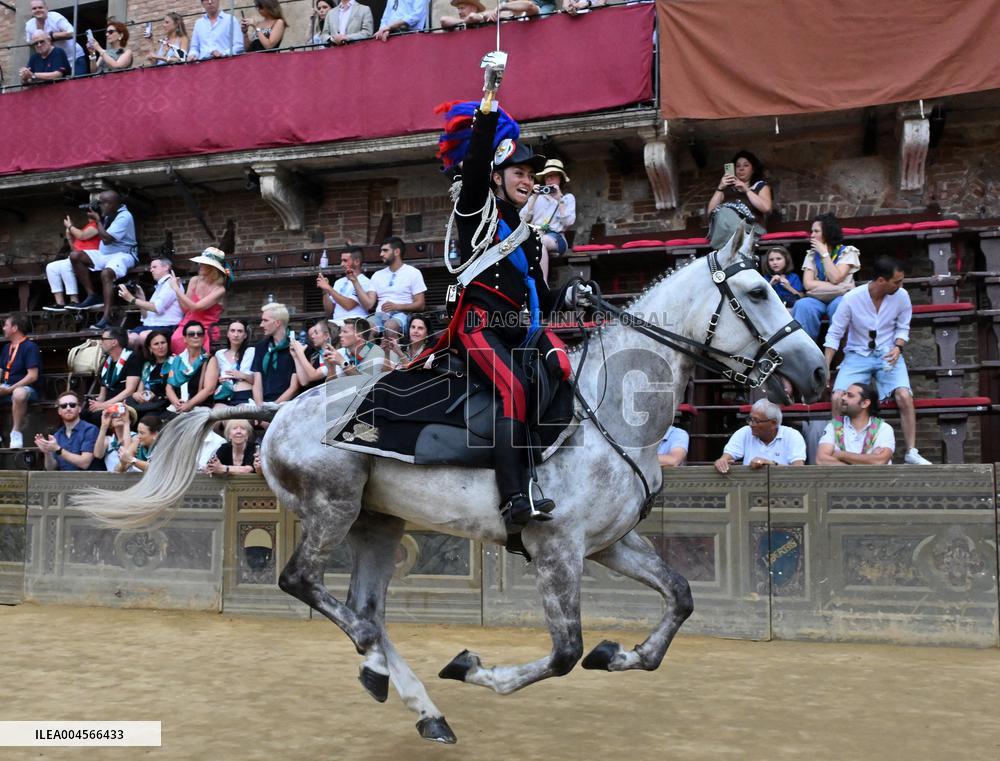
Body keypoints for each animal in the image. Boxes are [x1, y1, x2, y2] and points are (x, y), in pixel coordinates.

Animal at [71, 229, 828, 744]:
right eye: (756, 292)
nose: (817, 368)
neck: (607, 409)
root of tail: (277, 411)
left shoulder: (611, 543)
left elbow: (680, 599)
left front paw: (623, 653)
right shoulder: (557, 550)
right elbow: (563, 653)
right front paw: (473, 667)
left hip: (378, 523)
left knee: (365, 608)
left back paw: (414, 701)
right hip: (331, 509)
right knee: (304, 585)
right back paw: (382, 670)